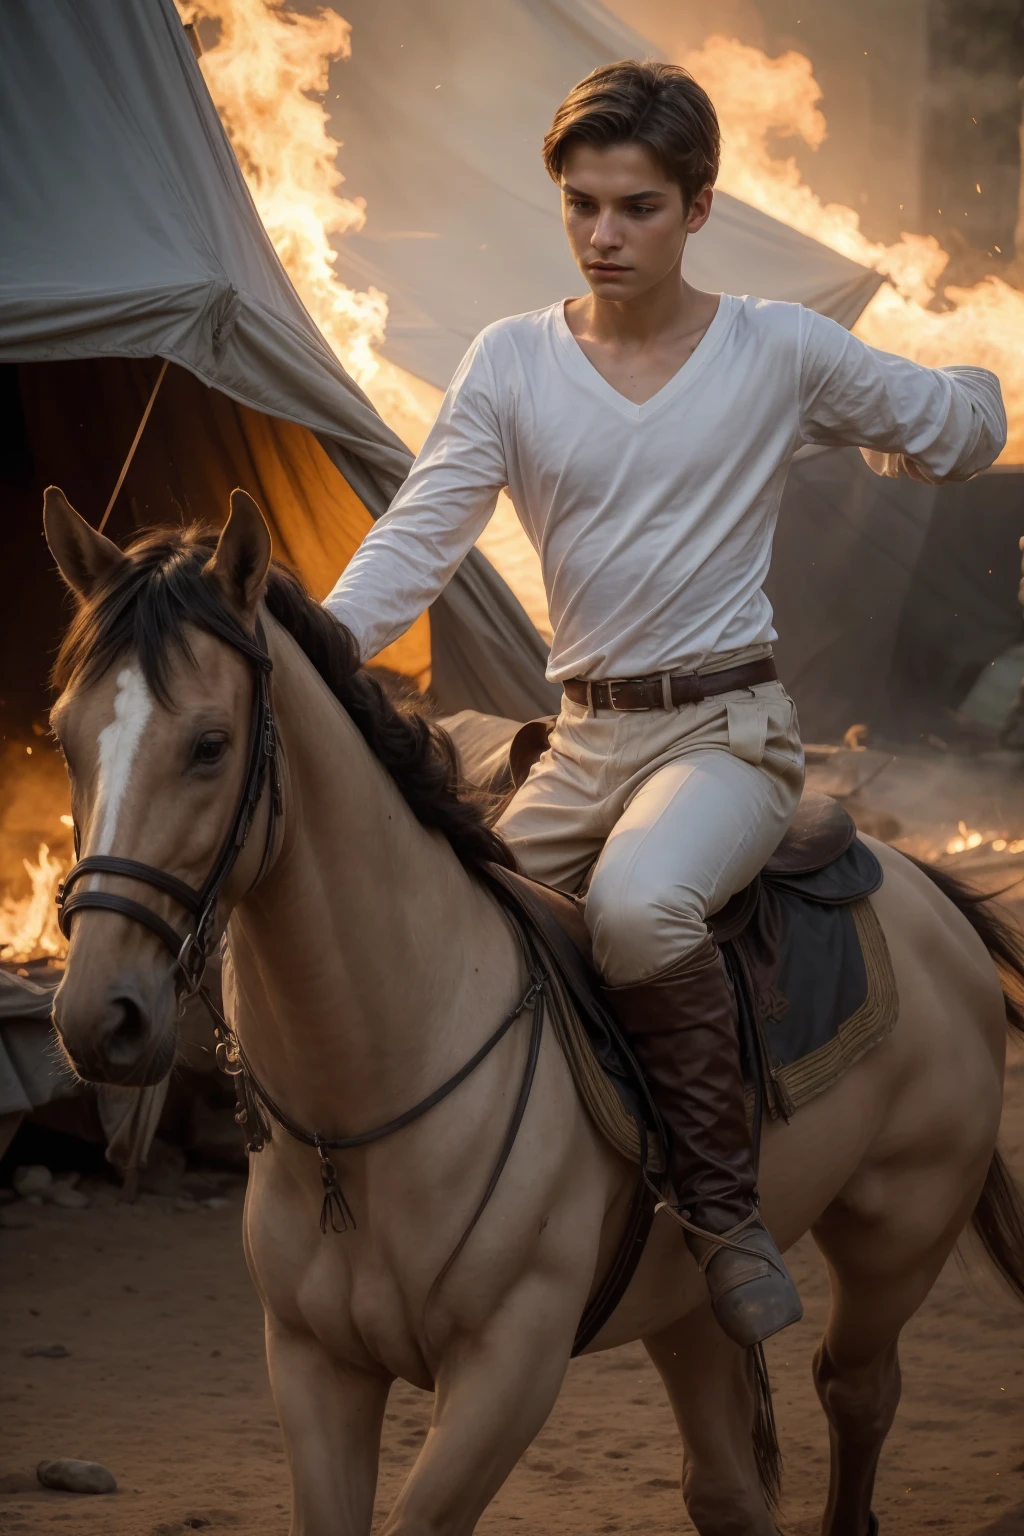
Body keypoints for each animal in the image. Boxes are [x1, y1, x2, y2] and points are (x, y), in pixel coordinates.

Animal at [44, 488, 1024, 1536]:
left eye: (210, 745)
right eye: (65, 736)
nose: (100, 1016)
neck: (373, 1095)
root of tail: (923, 886)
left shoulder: (507, 1370)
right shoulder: (314, 1366)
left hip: (898, 1235)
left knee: (856, 1390)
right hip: (689, 1310)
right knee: (726, 1485)